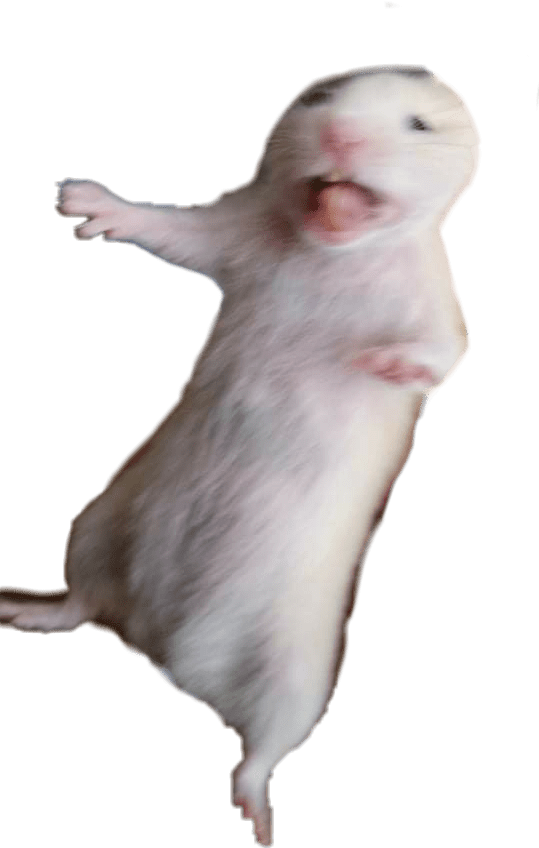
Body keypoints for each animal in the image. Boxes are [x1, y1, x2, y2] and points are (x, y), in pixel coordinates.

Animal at [0, 64, 480, 846]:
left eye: (418, 124)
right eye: (320, 99)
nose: (340, 136)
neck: (330, 247)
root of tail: (167, 656)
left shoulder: (435, 301)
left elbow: (446, 353)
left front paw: (377, 362)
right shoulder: (234, 232)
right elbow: (177, 231)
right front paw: (82, 200)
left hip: (300, 671)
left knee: (265, 747)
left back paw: (258, 816)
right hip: (95, 529)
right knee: (81, 606)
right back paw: (26, 611)